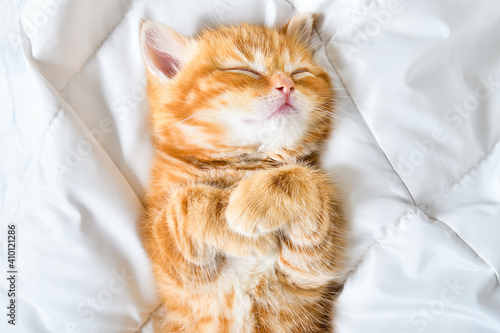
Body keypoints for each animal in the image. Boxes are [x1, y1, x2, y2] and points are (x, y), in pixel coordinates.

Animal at [139, 13, 346, 332]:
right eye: (242, 70)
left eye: (299, 72)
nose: (287, 85)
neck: (248, 165)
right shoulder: (175, 268)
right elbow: (185, 203)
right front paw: (236, 224)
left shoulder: (308, 270)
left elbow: (304, 178)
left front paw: (249, 204)